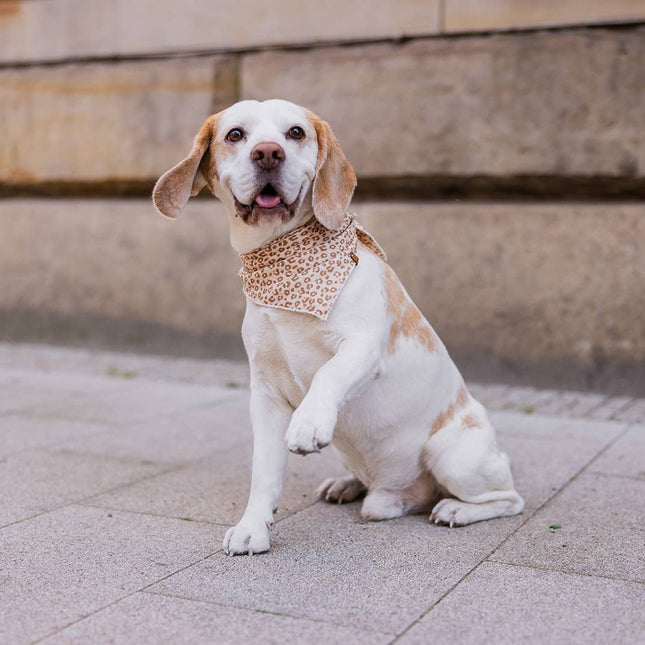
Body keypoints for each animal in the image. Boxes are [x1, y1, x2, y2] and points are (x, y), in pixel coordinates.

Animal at [152, 97, 524, 552]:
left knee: (507, 499)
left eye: (295, 132)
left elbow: (328, 374)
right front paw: (253, 527)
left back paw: (457, 509)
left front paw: (309, 423)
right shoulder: (266, 395)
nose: (268, 153)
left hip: (451, 454)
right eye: (235, 134)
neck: (284, 268)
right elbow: (263, 473)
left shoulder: (362, 348)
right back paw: (349, 485)